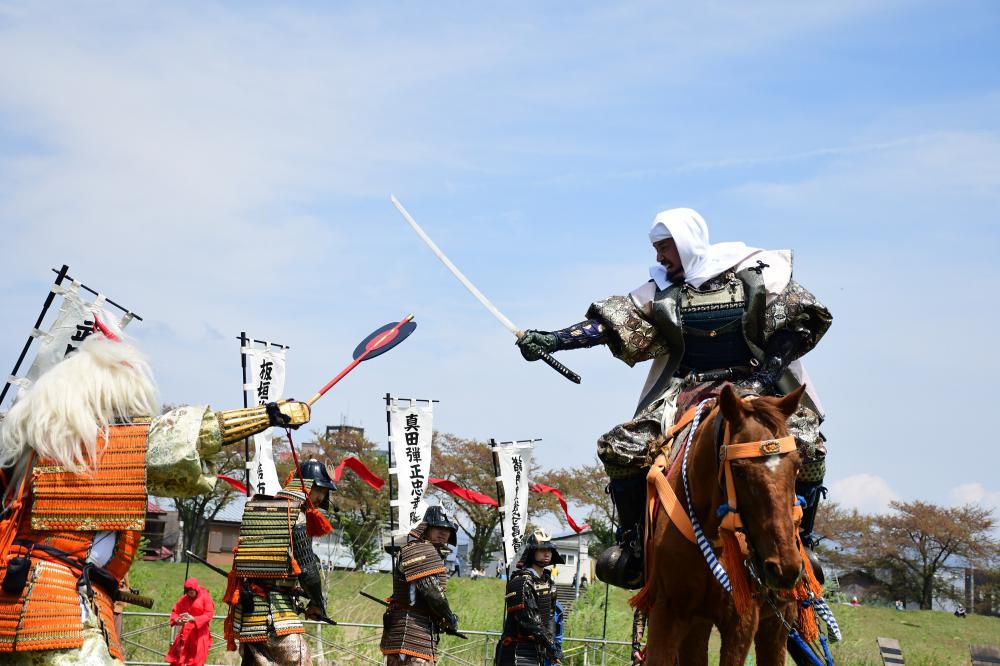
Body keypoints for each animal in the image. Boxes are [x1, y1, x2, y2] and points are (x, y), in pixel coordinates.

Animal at [636, 382, 808, 660]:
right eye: (739, 470)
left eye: (797, 466)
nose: (785, 568)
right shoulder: (667, 610)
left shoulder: (742, 620)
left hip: (777, 623)